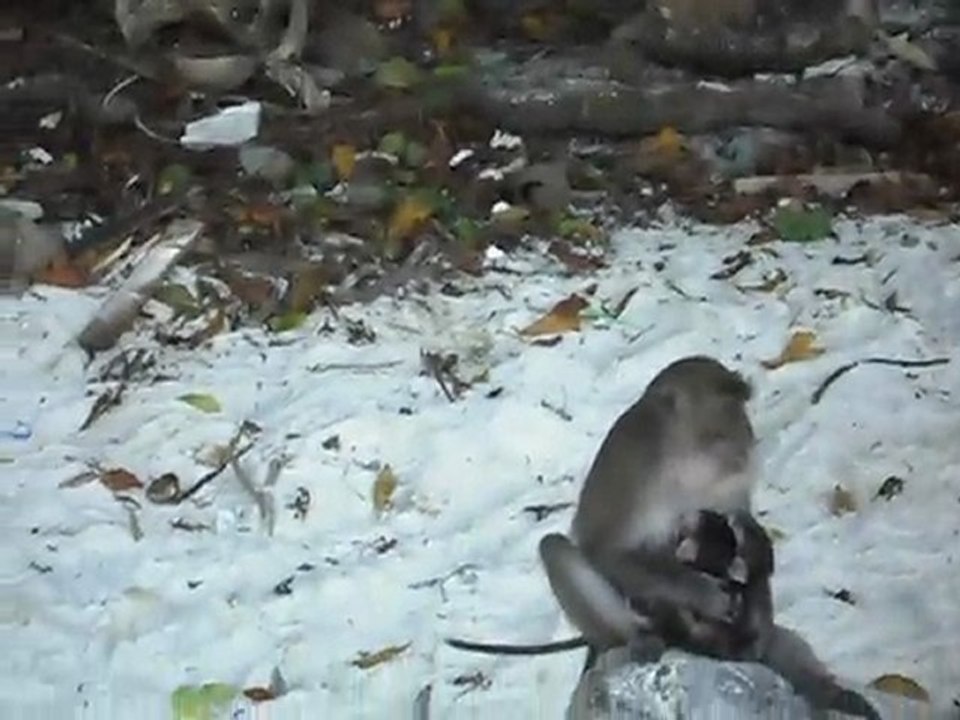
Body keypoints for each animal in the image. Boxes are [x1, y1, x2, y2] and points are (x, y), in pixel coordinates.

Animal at [446, 356, 880, 720]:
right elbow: (605, 551)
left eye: (742, 407)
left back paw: (822, 689)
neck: (683, 458)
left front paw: (752, 572)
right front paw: (702, 591)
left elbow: (747, 536)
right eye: (727, 407)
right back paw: (643, 637)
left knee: (780, 645)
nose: (747, 439)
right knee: (555, 548)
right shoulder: (634, 472)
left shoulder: (728, 487)